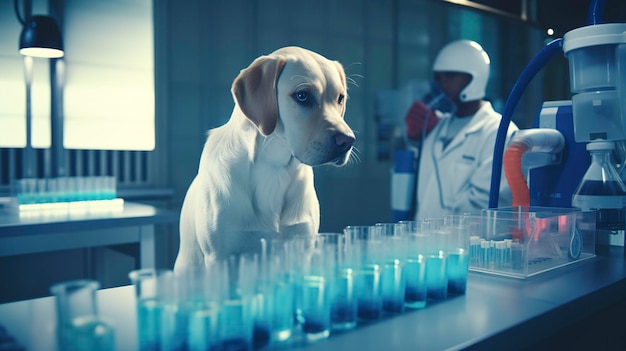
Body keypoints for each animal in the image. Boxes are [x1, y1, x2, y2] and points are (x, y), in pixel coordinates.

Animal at [173, 46, 354, 272]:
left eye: (340, 98)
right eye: (302, 96)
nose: (348, 141)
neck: (275, 167)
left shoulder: (302, 248)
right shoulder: (219, 257)